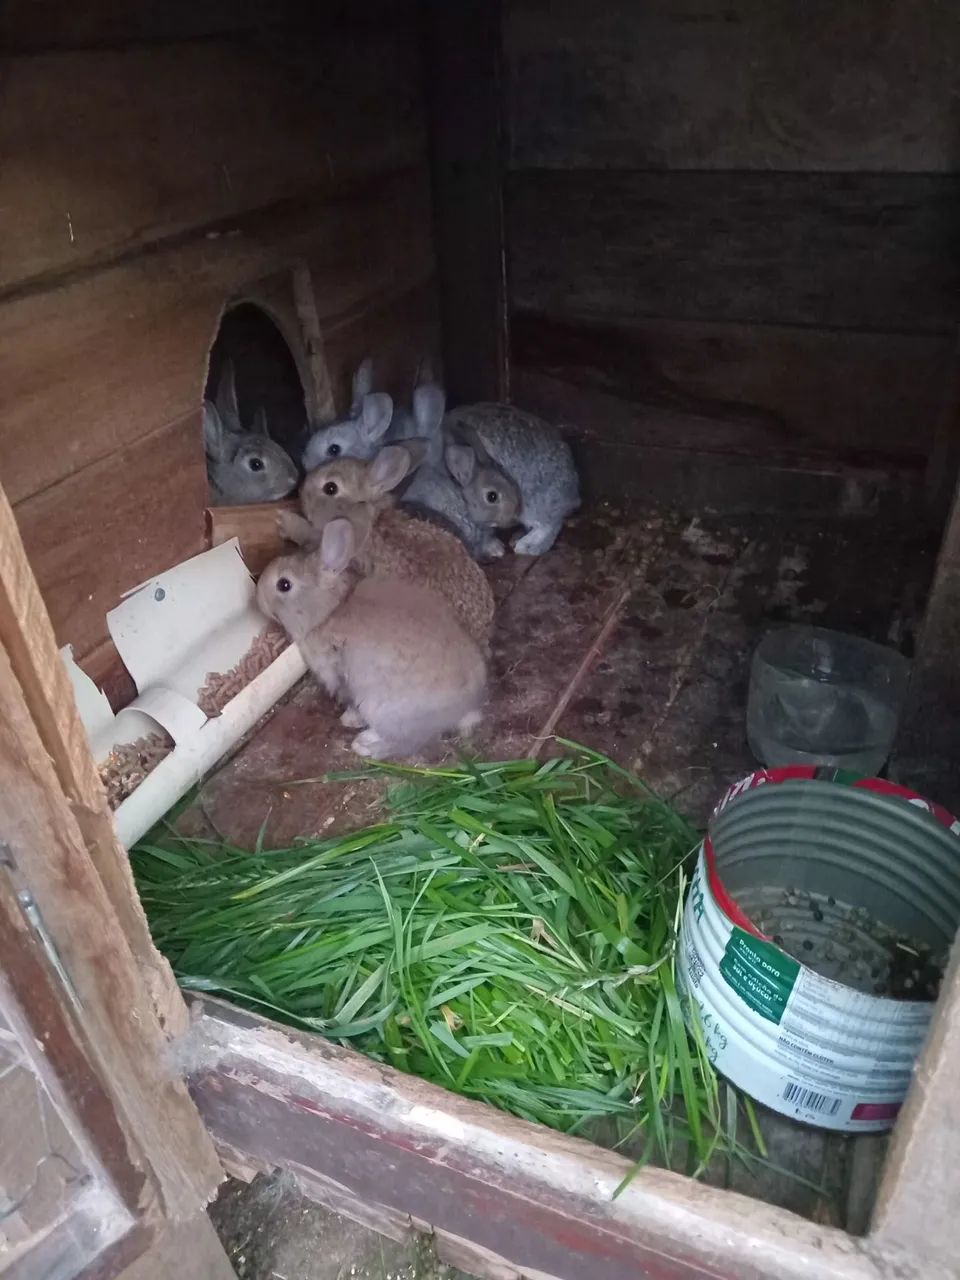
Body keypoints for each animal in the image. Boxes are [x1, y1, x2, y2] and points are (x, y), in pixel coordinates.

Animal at [257, 518, 486, 759]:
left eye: (284, 584)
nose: (258, 598)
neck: (329, 611)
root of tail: (464, 710)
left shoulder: (339, 673)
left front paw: (348, 718)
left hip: (381, 707)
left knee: (408, 743)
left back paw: (366, 746)